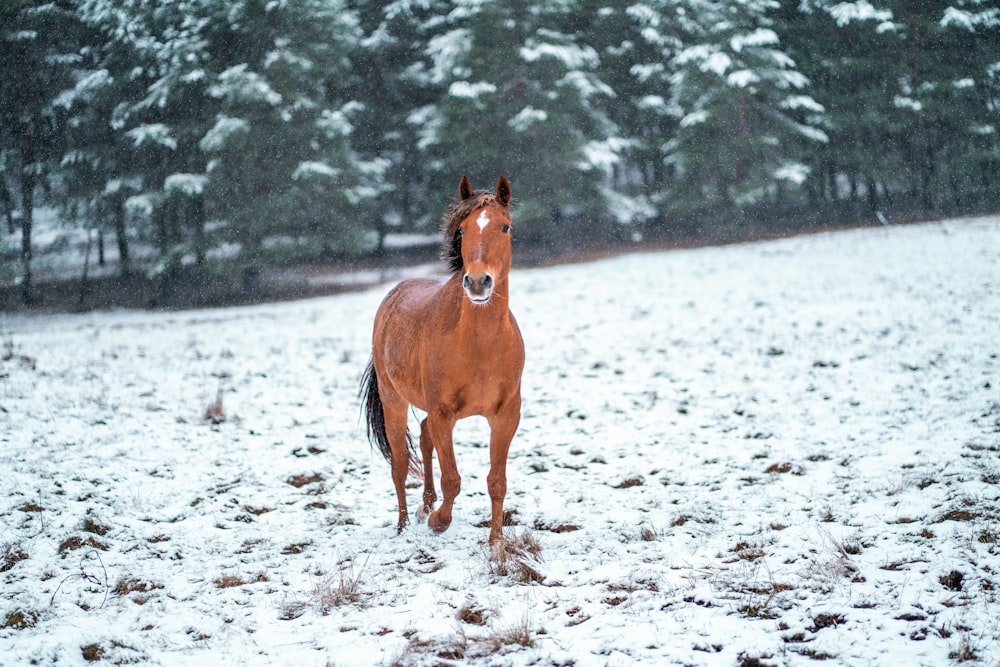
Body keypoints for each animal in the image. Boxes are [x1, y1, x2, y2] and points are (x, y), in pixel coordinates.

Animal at [364, 175, 528, 544]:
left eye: (505, 227)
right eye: (463, 230)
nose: (478, 282)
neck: (481, 345)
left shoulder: (505, 416)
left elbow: (497, 482)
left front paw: (496, 543)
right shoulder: (444, 414)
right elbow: (452, 479)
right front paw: (439, 521)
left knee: (424, 438)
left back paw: (425, 506)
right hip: (393, 400)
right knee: (399, 464)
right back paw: (404, 525)